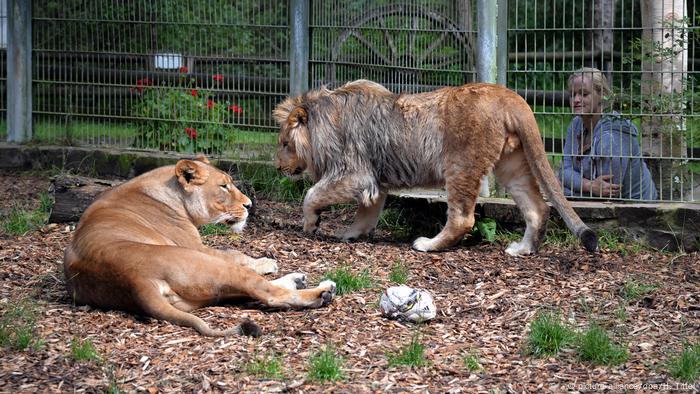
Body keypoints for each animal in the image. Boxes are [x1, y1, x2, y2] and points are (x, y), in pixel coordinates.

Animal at [65, 155, 336, 338]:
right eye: (224, 186)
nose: (249, 205)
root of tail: (133, 281)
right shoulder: (196, 245)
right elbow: (235, 253)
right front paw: (265, 261)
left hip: (200, 293)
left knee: (249, 291)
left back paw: (298, 280)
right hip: (205, 264)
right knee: (266, 293)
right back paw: (321, 292)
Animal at [274, 80, 596, 255]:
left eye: (285, 144)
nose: (278, 168)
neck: (322, 118)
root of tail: (508, 95)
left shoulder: (354, 173)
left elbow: (311, 195)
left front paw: (311, 223)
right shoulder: (375, 180)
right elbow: (367, 213)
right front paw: (350, 235)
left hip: (460, 165)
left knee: (462, 219)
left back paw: (427, 244)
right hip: (511, 165)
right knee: (538, 208)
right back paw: (523, 249)